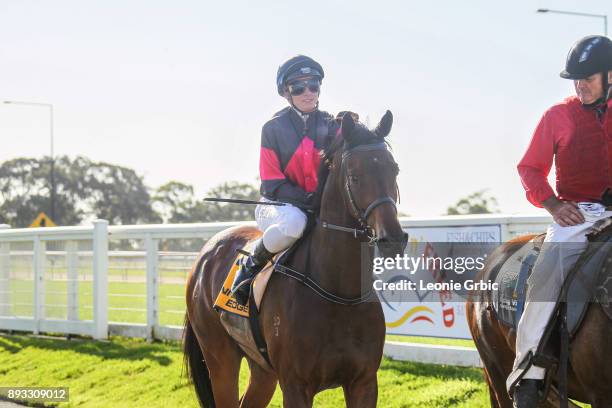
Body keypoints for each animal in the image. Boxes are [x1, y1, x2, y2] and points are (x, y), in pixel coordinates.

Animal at [184, 110, 408, 406]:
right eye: (355, 176)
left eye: (394, 169)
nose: (392, 239)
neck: (340, 293)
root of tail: (205, 255)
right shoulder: (295, 385)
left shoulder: (364, 382)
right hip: (220, 357)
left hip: (263, 371)